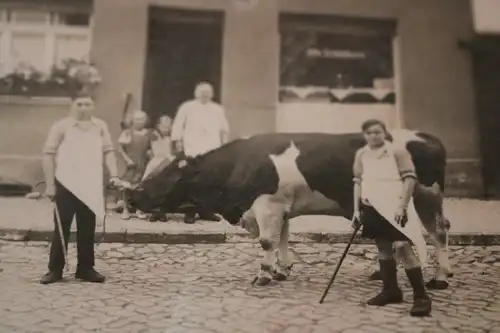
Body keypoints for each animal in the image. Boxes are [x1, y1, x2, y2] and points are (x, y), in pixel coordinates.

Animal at [123, 130, 452, 288]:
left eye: (166, 173)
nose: (133, 195)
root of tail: (426, 136)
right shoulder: (281, 208)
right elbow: (283, 237)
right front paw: (282, 269)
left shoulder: (268, 204)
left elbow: (267, 241)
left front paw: (264, 275)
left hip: (426, 194)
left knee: (438, 232)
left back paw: (440, 277)